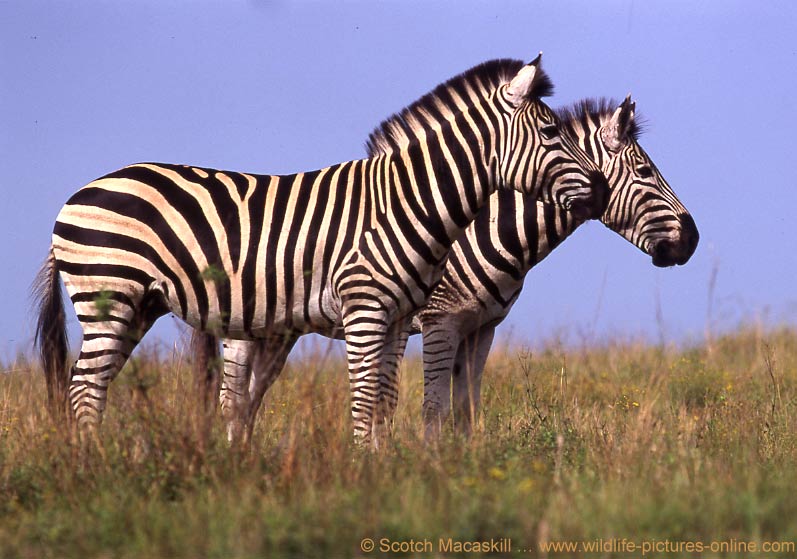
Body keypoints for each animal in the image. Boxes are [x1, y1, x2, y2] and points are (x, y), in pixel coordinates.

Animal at [29, 53, 604, 446]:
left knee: (97, 386)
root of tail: (77, 194)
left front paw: (380, 471)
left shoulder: (399, 316)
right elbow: (366, 399)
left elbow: (385, 397)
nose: (599, 188)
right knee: (85, 388)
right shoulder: (366, 309)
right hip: (109, 293)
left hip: (139, 305)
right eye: (551, 131)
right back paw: (95, 470)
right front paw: (363, 472)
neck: (406, 201)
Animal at [205, 63, 696, 444]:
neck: (485, 228)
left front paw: (465, 467)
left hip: (278, 329)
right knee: (233, 399)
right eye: (644, 172)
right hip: (245, 328)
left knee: (251, 399)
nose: (692, 239)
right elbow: (434, 408)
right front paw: (432, 470)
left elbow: (467, 410)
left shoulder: (482, 328)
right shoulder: (442, 321)